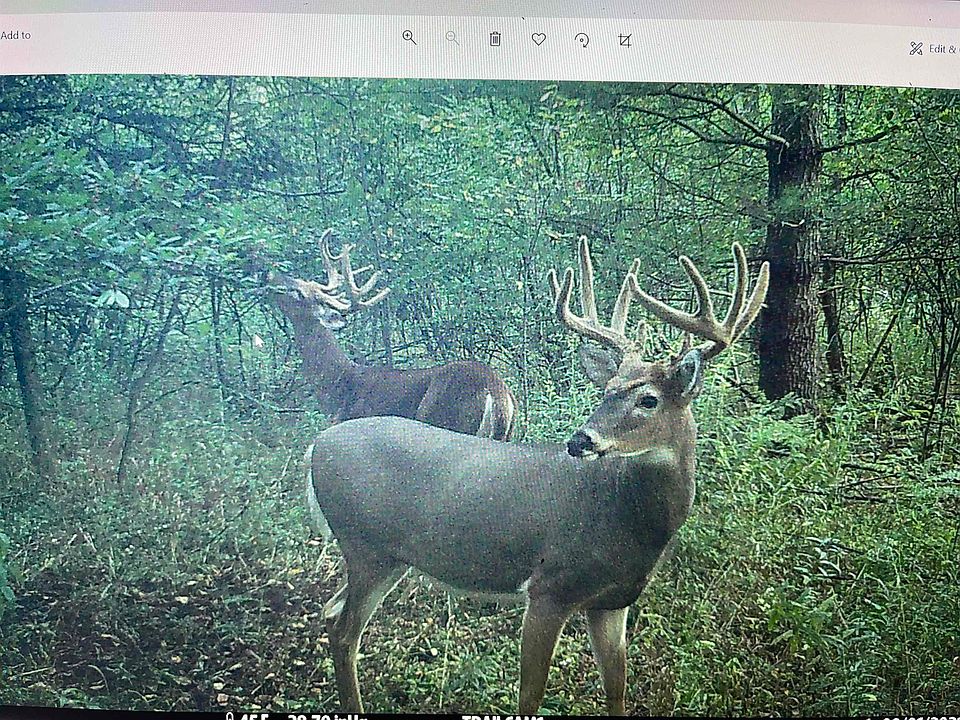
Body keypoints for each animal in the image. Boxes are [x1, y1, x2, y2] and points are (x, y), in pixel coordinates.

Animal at [305, 236, 769, 714]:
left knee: (330, 614)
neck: (626, 521)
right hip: (366, 548)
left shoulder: (613, 603)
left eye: (648, 399)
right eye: (606, 391)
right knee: (343, 632)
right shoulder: (549, 587)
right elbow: (530, 694)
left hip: (386, 557)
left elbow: (617, 690)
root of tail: (316, 446)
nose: (580, 440)